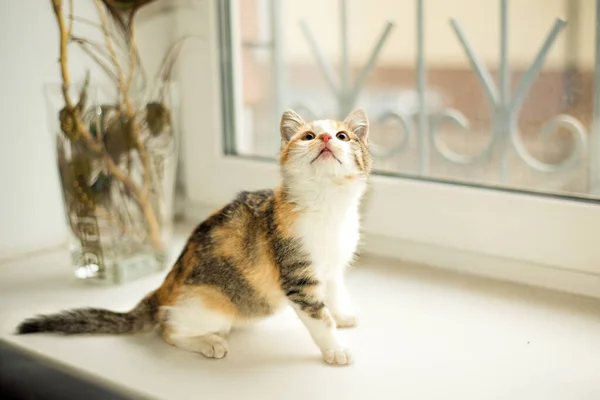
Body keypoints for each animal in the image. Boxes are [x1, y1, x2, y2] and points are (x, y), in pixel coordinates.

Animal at [16, 108, 370, 366]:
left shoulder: (331, 270)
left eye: (343, 136)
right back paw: (208, 342)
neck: (328, 207)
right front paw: (335, 348)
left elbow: (333, 295)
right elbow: (319, 318)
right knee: (168, 329)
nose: (326, 137)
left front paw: (341, 316)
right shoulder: (297, 279)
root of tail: (163, 290)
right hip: (210, 309)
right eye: (307, 136)